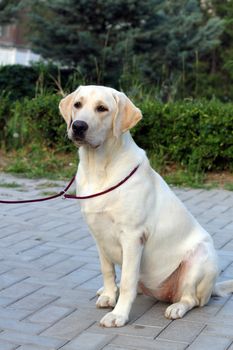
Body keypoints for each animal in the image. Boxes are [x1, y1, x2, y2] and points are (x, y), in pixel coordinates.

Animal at [59, 86, 233, 326]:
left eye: (102, 108)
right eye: (77, 104)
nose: (78, 126)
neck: (98, 166)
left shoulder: (133, 237)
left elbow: (128, 280)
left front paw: (119, 315)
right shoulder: (98, 234)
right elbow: (107, 270)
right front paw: (109, 295)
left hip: (200, 258)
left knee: (192, 299)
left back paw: (177, 307)